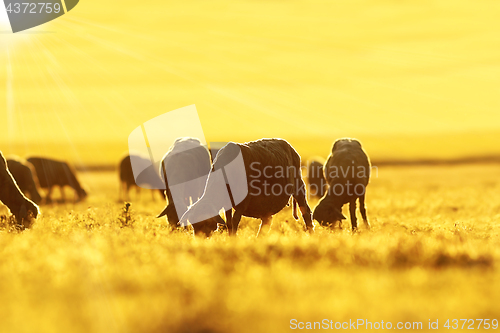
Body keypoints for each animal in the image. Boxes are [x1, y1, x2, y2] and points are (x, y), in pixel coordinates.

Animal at [178, 137, 314, 236]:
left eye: (204, 222)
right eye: (193, 224)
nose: (198, 238)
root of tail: (287, 144)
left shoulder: (243, 203)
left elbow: (234, 222)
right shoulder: (227, 204)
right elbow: (229, 223)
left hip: (299, 185)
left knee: (305, 211)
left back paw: (311, 233)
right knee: (267, 220)